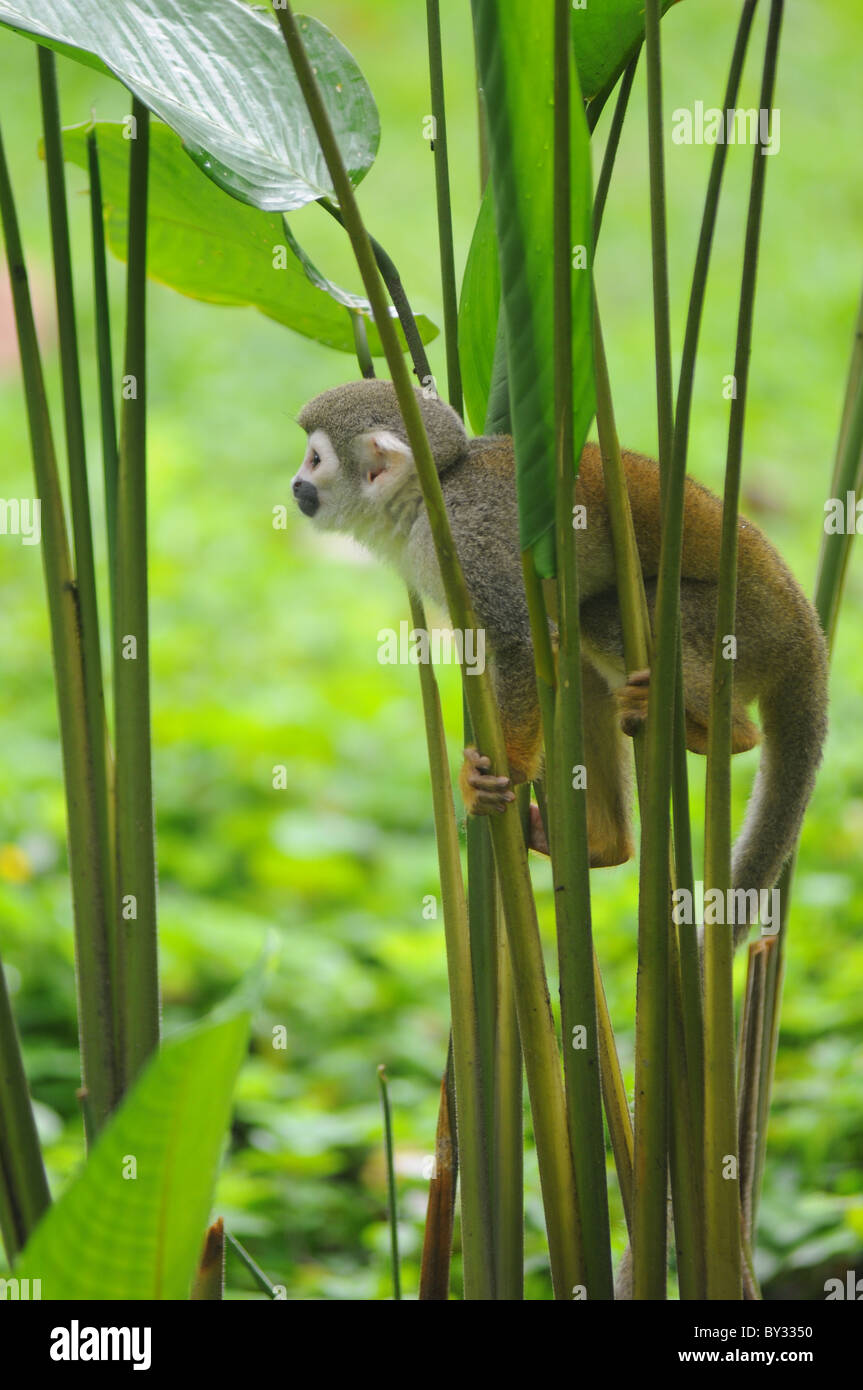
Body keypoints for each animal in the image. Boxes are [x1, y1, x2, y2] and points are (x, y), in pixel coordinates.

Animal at [293, 380, 822, 945]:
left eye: (315, 459)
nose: (295, 485)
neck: (427, 499)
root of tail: (806, 627)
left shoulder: (467, 541)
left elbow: (524, 642)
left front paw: (502, 771)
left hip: (746, 624)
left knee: (599, 619)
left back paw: (721, 733)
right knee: (579, 663)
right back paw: (607, 845)